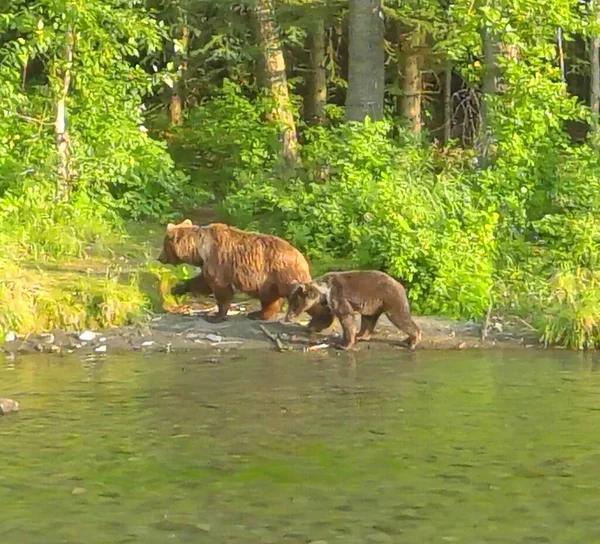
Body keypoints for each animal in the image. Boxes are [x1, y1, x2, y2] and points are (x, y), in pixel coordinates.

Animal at [159, 220, 336, 328]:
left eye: (164, 246)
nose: (159, 258)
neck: (200, 250)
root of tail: (301, 257)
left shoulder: (217, 261)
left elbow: (220, 288)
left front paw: (215, 316)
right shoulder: (209, 264)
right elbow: (202, 282)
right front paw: (176, 288)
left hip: (283, 274)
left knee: (301, 297)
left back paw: (322, 320)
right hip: (268, 282)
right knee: (270, 299)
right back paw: (257, 314)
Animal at [286, 270, 422, 350]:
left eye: (293, 305)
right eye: (290, 302)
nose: (287, 317)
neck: (324, 292)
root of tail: (400, 285)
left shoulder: (337, 295)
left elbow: (346, 317)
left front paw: (344, 344)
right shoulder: (328, 304)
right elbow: (325, 317)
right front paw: (310, 327)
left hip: (389, 298)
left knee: (400, 317)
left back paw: (413, 340)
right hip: (373, 305)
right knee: (368, 320)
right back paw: (361, 335)